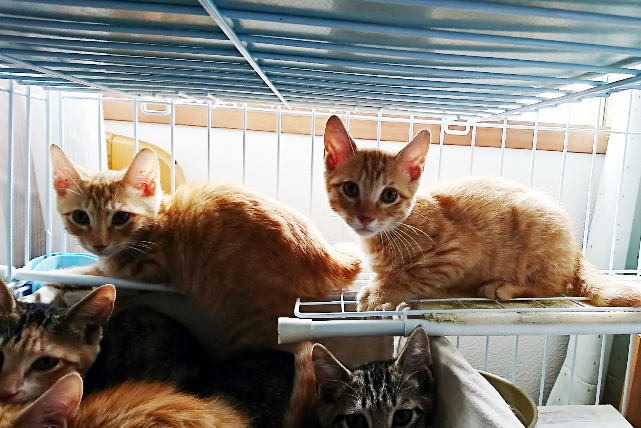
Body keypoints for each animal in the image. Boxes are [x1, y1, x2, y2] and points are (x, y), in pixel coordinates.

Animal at [50, 144, 361, 349]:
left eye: (120, 217)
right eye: (80, 217)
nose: (99, 243)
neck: (155, 223)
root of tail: (326, 254)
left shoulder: (148, 273)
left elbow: (97, 278)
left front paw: (62, 287)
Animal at [323, 115, 641, 311]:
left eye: (389, 195)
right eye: (350, 189)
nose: (365, 217)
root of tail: (576, 250)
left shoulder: (456, 253)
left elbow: (410, 274)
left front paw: (379, 292)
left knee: (554, 286)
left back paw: (505, 288)